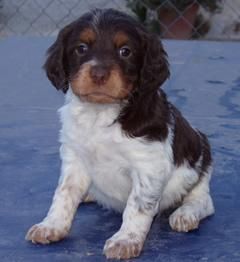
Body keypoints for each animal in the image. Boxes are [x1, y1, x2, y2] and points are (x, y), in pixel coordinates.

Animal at [25, 8, 215, 260]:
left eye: (125, 51)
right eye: (81, 48)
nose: (98, 74)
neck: (100, 114)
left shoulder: (148, 165)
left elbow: (137, 206)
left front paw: (125, 240)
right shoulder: (74, 157)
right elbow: (64, 194)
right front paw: (51, 226)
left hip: (200, 164)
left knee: (203, 201)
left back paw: (185, 214)